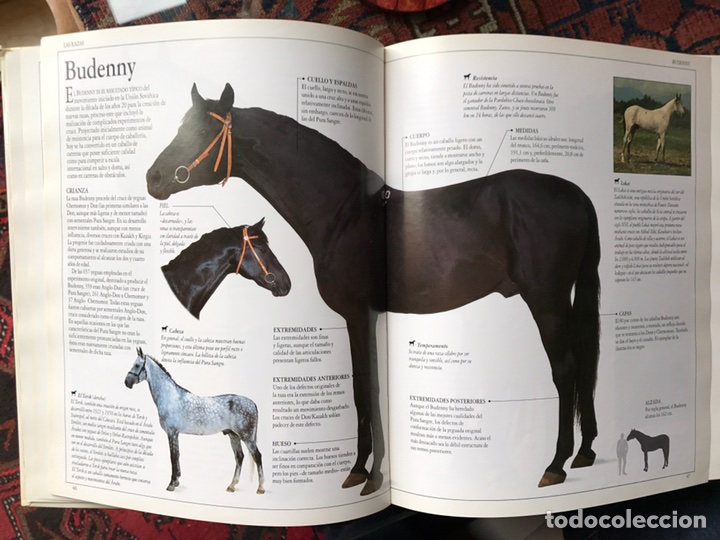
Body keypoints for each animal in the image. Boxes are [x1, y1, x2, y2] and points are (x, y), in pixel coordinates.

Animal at [124, 347, 265, 494]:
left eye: (137, 365)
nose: (127, 382)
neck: (170, 397)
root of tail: (253, 403)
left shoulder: (172, 433)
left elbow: (173, 457)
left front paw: (171, 484)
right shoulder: (175, 434)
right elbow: (177, 455)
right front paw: (177, 481)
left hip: (247, 437)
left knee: (257, 456)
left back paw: (260, 488)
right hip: (234, 436)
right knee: (239, 457)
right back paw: (232, 485)